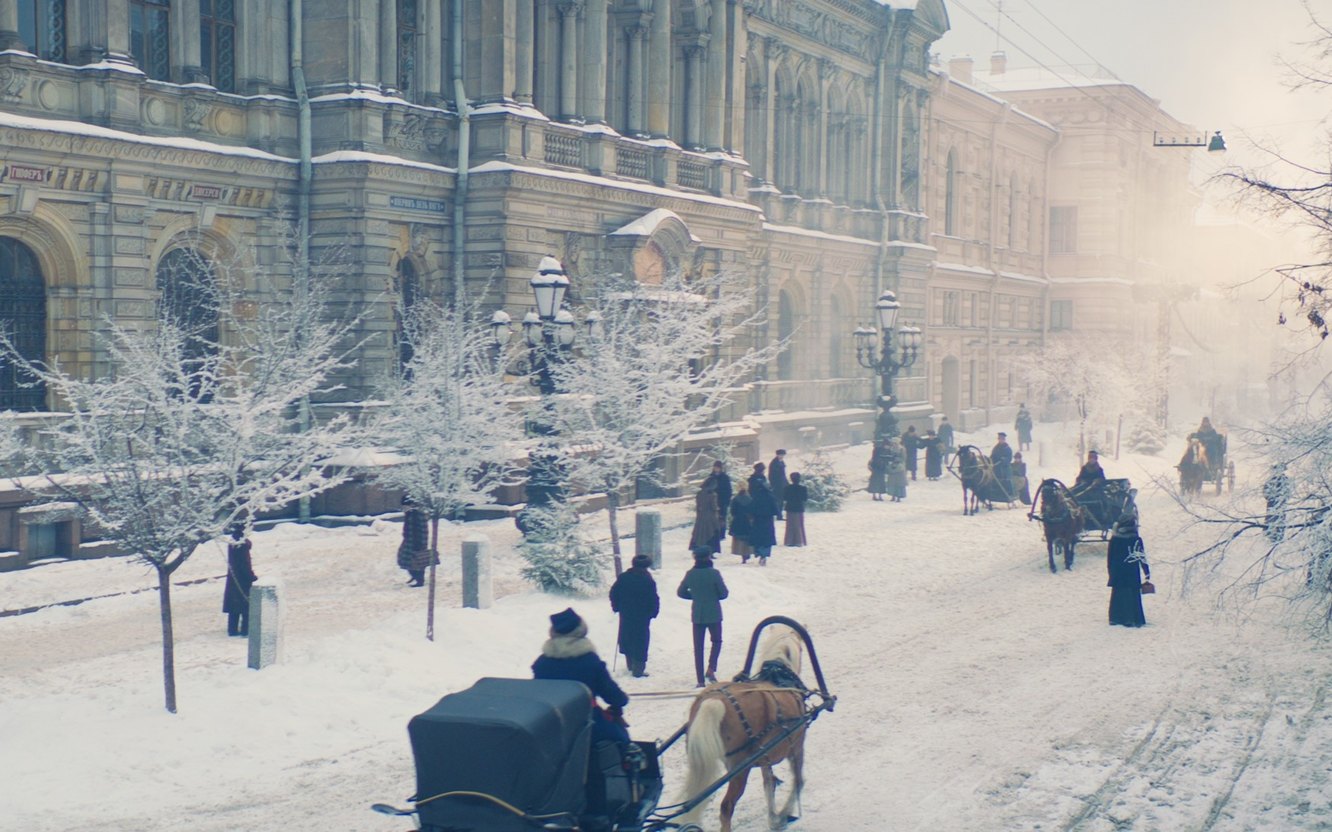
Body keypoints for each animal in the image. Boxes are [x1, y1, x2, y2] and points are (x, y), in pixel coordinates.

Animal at [681, 625, 804, 830]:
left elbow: (769, 785)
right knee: (726, 807)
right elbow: (798, 781)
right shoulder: (796, 747)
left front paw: (773, 818)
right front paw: (784, 815)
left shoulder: (766, 757)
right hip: (740, 769)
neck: (777, 677)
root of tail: (714, 701)